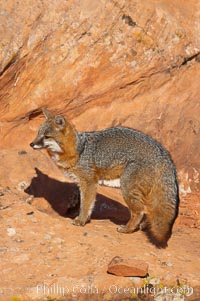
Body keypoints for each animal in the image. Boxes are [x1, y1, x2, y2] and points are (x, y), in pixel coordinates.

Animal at [30, 108, 179, 246]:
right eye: (38, 133)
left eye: (46, 136)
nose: (31, 144)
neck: (79, 150)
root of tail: (163, 151)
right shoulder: (84, 184)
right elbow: (89, 205)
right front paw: (85, 220)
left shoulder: (89, 182)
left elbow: (85, 205)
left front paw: (80, 221)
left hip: (127, 188)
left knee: (139, 212)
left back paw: (127, 229)